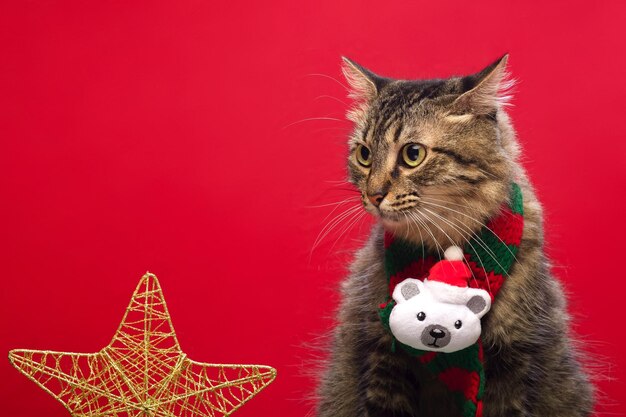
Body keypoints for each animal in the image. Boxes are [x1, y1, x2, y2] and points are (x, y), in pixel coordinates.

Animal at [314, 56, 592, 416]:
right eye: (364, 155)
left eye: (413, 154)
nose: (373, 195)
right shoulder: (377, 354)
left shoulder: (519, 351)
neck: (443, 242)